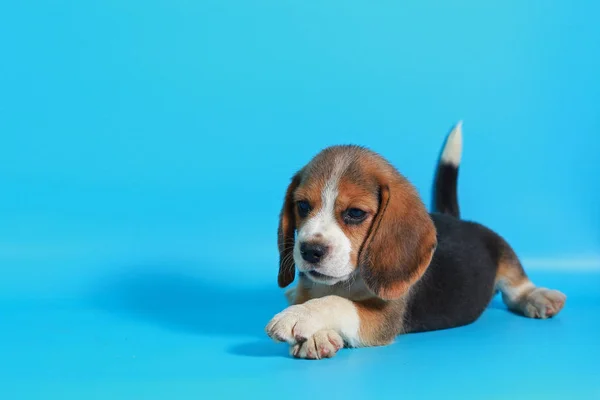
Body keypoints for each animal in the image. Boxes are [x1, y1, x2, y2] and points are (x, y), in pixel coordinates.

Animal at [268, 122, 568, 360]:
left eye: (355, 213)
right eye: (303, 206)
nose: (310, 251)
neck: (347, 281)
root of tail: (457, 219)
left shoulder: (384, 317)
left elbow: (337, 303)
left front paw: (299, 317)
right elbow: (314, 297)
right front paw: (313, 332)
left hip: (504, 252)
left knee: (516, 287)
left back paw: (538, 296)